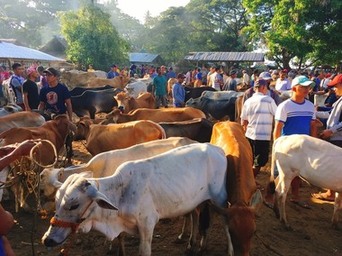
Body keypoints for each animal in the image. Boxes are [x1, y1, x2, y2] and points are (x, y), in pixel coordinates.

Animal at [42, 144, 230, 256]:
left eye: (74, 205)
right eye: (57, 203)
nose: (47, 239)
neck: (122, 193)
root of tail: (216, 148)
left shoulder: (147, 225)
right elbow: (120, 239)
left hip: (220, 199)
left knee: (226, 223)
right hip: (196, 201)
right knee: (196, 215)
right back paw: (194, 244)